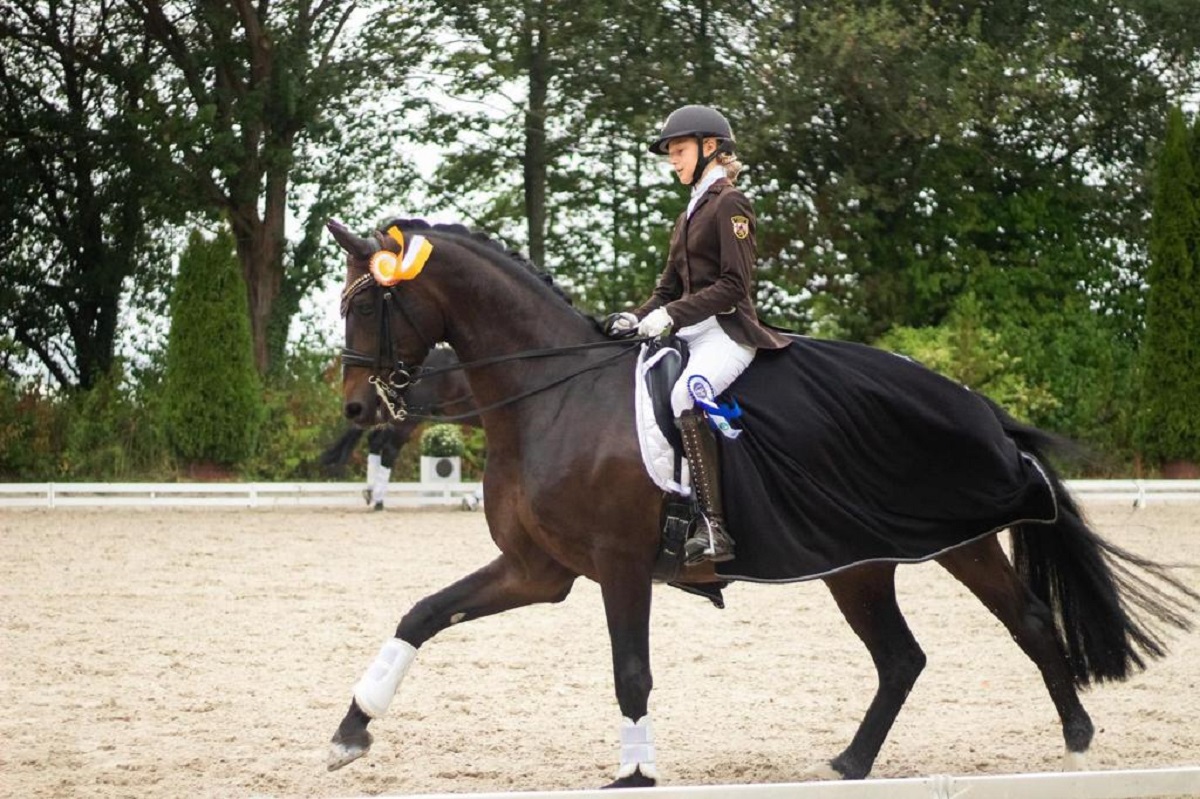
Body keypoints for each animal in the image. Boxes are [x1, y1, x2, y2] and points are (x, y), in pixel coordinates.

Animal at [324, 215, 1195, 782]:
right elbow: (422, 614)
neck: (552, 393)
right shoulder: (540, 570)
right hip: (864, 563)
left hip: (954, 542)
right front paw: (349, 730)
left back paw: (1076, 741)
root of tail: (978, 404)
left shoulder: (619, 563)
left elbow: (631, 672)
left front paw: (634, 775)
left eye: (367, 303)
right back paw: (852, 762)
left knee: (1024, 622)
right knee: (909, 655)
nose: (360, 409)